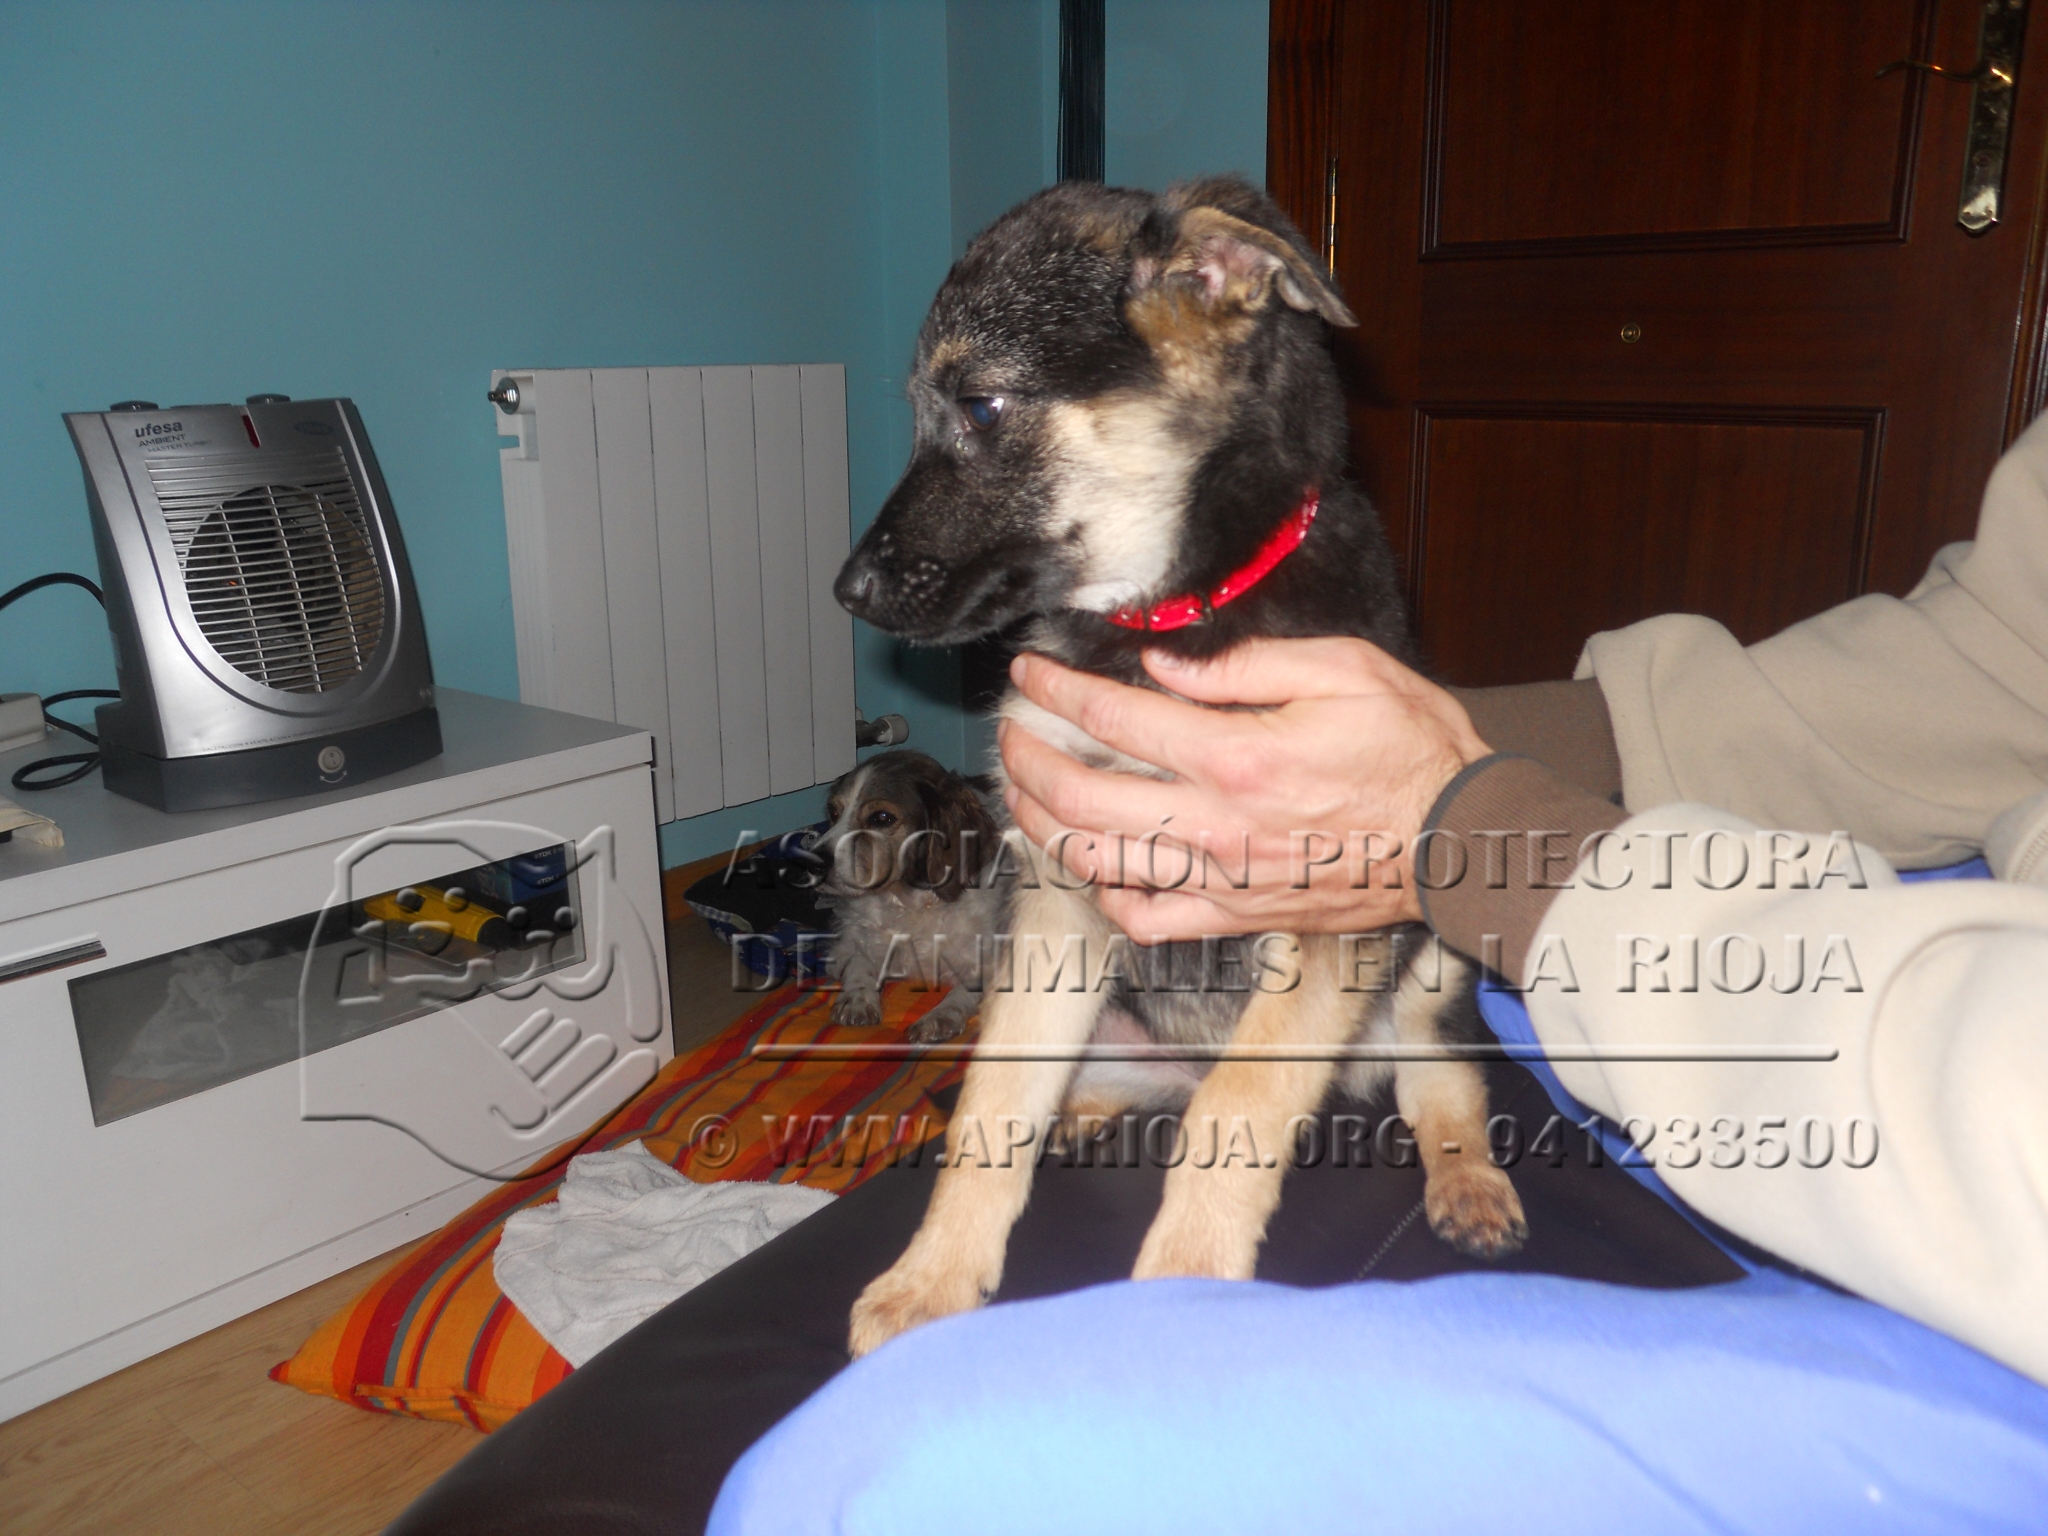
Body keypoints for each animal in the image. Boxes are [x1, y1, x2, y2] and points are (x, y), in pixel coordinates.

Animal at [817, 750, 1006, 1045]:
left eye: (881, 818)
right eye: (834, 813)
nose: (810, 862)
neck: (911, 903)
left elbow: (966, 990)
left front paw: (940, 1016)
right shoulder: (845, 945)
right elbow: (859, 961)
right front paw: (857, 998)